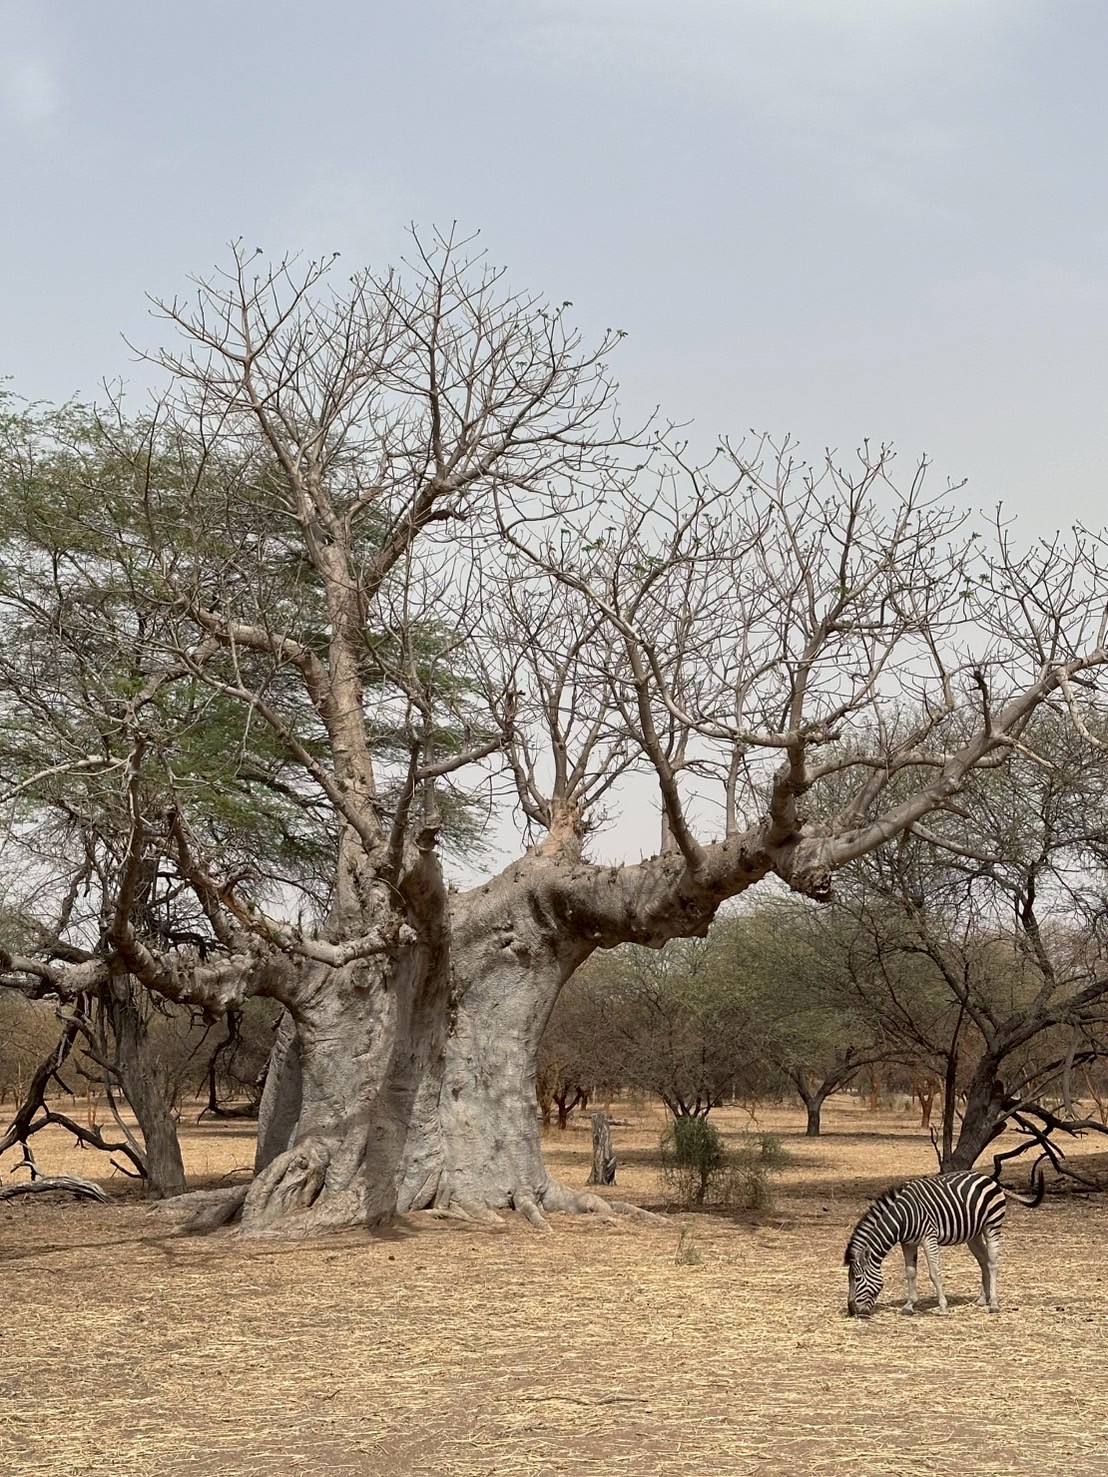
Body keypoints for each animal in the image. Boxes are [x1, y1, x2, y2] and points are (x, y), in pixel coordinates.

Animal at [844, 1165, 1044, 1317]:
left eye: (857, 1278)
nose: (852, 1311)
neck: (902, 1218)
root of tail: (990, 1179)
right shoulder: (907, 1242)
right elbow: (910, 1272)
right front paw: (909, 1305)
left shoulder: (928, 1237)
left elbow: (934, 1273)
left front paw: (942, 1306)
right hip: (974, 1233)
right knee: (984, 1261)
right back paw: (982, 1299)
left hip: (992, 1225)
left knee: (993, 1263)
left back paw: (993, 1304)